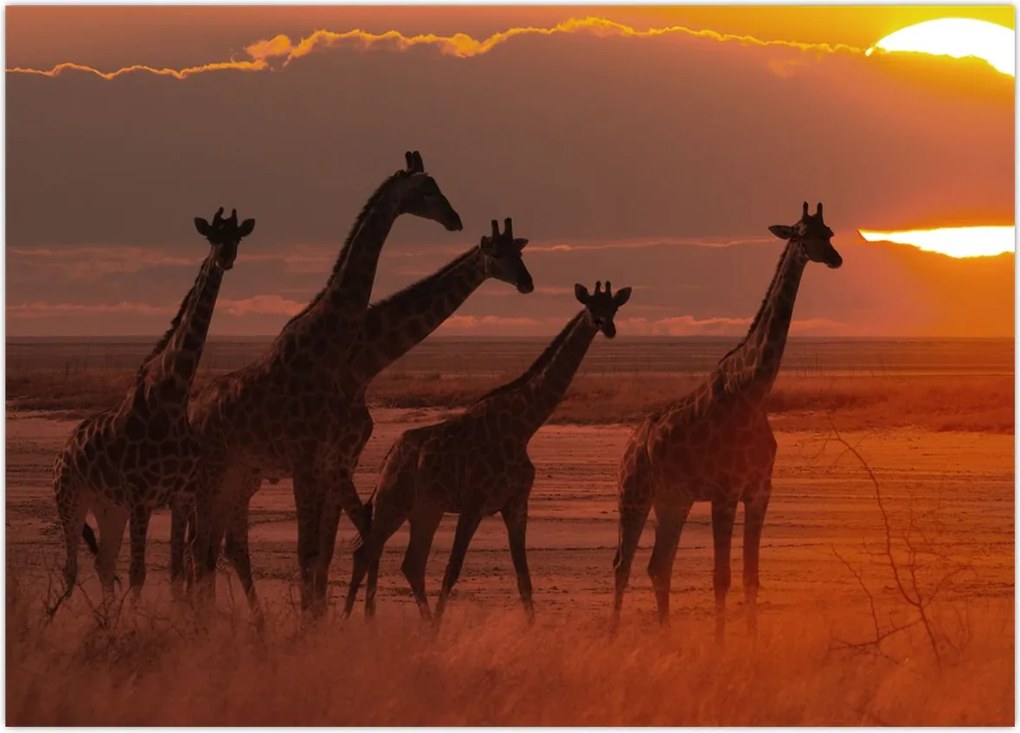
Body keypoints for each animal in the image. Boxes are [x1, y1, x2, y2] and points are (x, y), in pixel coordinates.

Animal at [49, 208, 254, 612]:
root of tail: (65, 448)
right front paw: (140, 623)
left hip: (109, 508)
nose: (226, 257)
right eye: (212, 236)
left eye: (237, 237)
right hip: (71, 499)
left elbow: (175, 572)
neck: (173, 396)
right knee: (71, 569)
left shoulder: (180, 497)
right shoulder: (142, 497)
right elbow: (139, 574)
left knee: (103, 562)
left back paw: (107, 620)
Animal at [185, 151, 463, 613]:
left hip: (235, 475)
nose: (455, 219)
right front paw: (312, 623)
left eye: (438, 185)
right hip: (212, 474)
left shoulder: (329, 462)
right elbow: (309, 552)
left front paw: (319, 621)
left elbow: (322, 554)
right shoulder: (305, 463)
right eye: (427, 190)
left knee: (208, 548)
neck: (329, 351)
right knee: (200, 547)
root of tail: (191, 412)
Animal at [212, 217, 535, 609]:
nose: (527, 283)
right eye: (499, 255)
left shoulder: (343, 456)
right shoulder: (332, 456)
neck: (364, 359)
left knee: (228, 543)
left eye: (520, 253)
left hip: (247, 476)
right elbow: (350, 539)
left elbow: (345, 540)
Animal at [343, 280, 632, 625]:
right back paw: (344, 621)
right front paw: (439, 629)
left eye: (614, 307)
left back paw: (416, 624)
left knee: (410, 562)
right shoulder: (473, 503)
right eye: (591, 306)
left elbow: (524, 578)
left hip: (426, 509)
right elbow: (452, 571)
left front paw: (531, 629)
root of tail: (389, 456)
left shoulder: (516, 504)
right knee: (365, 551)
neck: (522, 428)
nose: (608, 327)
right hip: (394, 501)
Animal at [611, 202, 842, 642]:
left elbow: (751, 577)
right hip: (633, 492)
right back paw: (615, 640)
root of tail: (630, 443)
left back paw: (667, 641)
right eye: (803, 234)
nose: (836, 259)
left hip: (673, 500)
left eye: (830, 232)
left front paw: (750, 644)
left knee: (658, 565)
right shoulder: (724, 492)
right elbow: (722, 577)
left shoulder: (759, 491)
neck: (754, 390)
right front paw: (721, 647)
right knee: (622, 564)